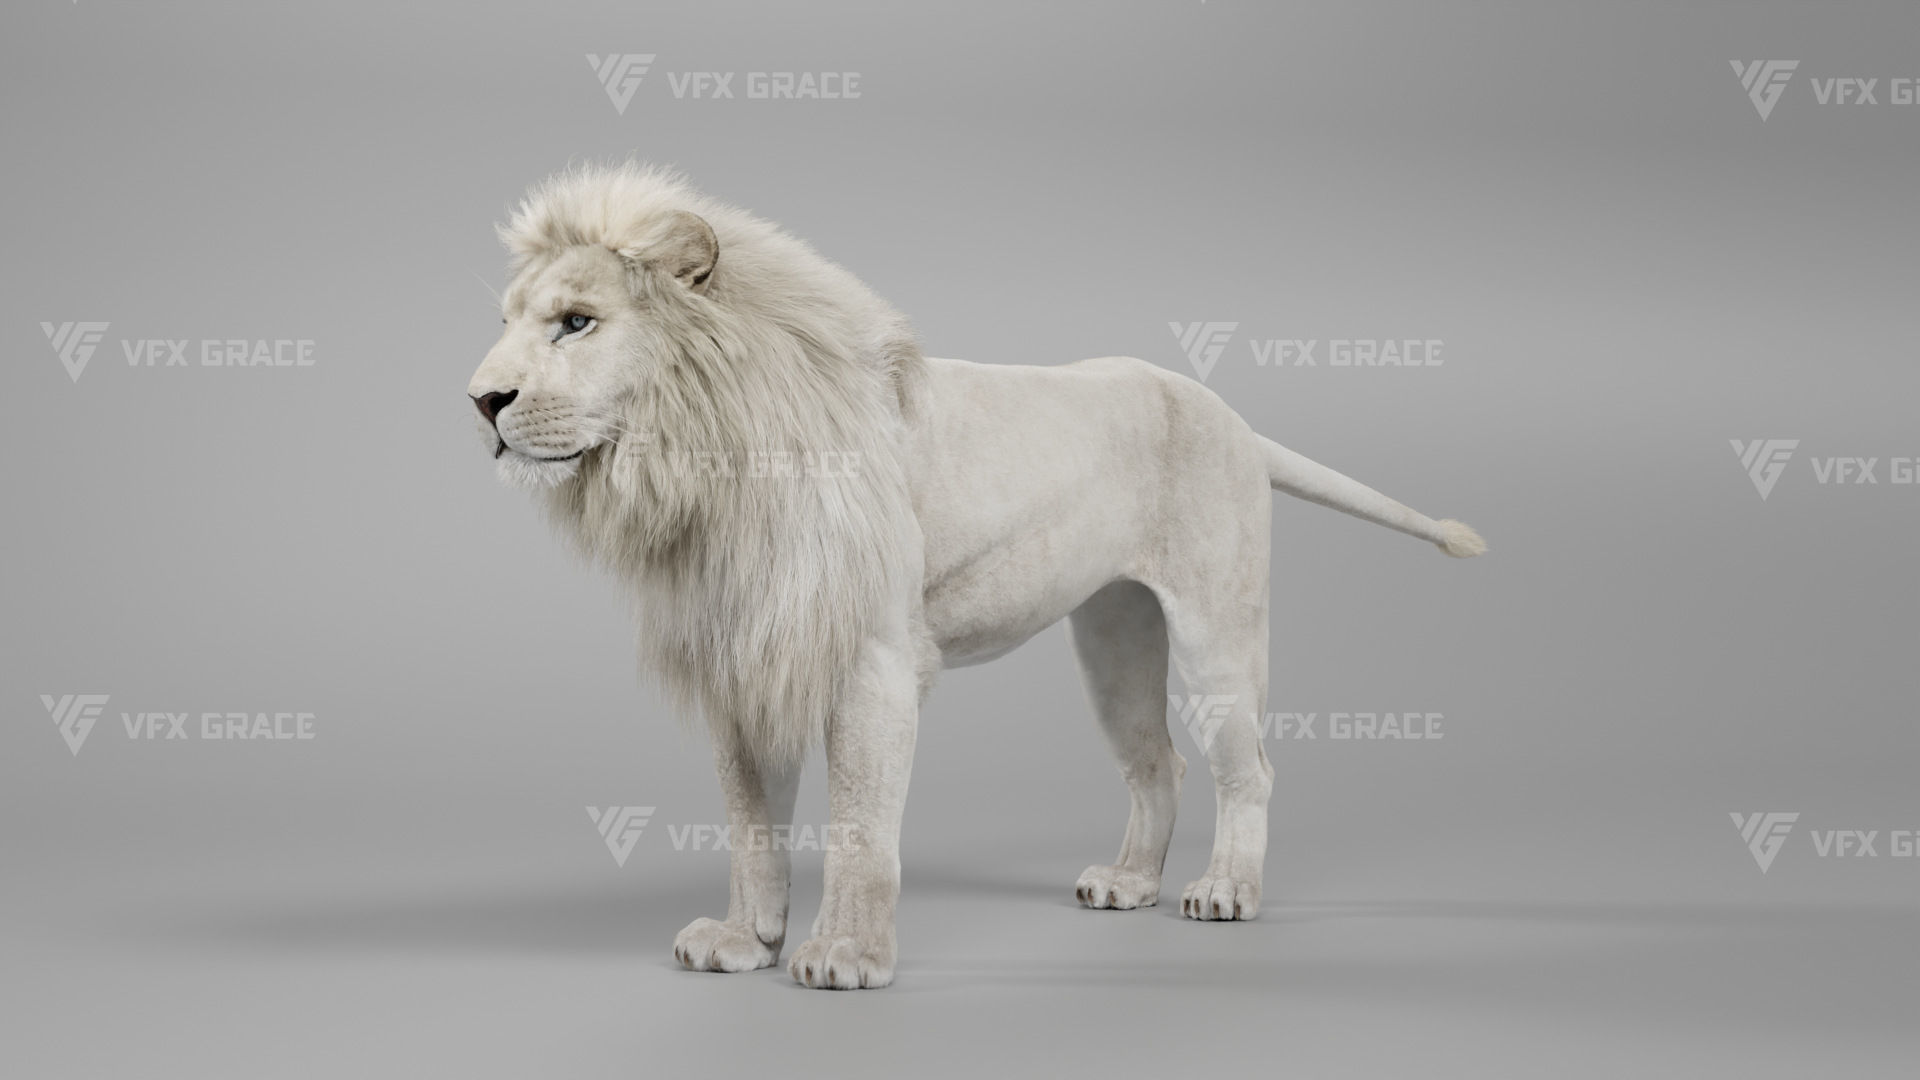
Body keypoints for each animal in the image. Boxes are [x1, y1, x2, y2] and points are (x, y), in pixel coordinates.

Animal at [467, 162, 1485, 990]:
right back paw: (1128, 883)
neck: (705, 465)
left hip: (1214, 630)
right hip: (1114, 638)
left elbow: (860, 826)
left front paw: (846, 956)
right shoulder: (746, 658)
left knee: (1251, 768)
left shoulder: (871, 663)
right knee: (1159, 761)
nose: (480, 400)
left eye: (576, 324)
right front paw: (744, 941)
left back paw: (1226, 889)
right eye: (511, 322)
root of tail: (1224, 409)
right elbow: (752, 821)